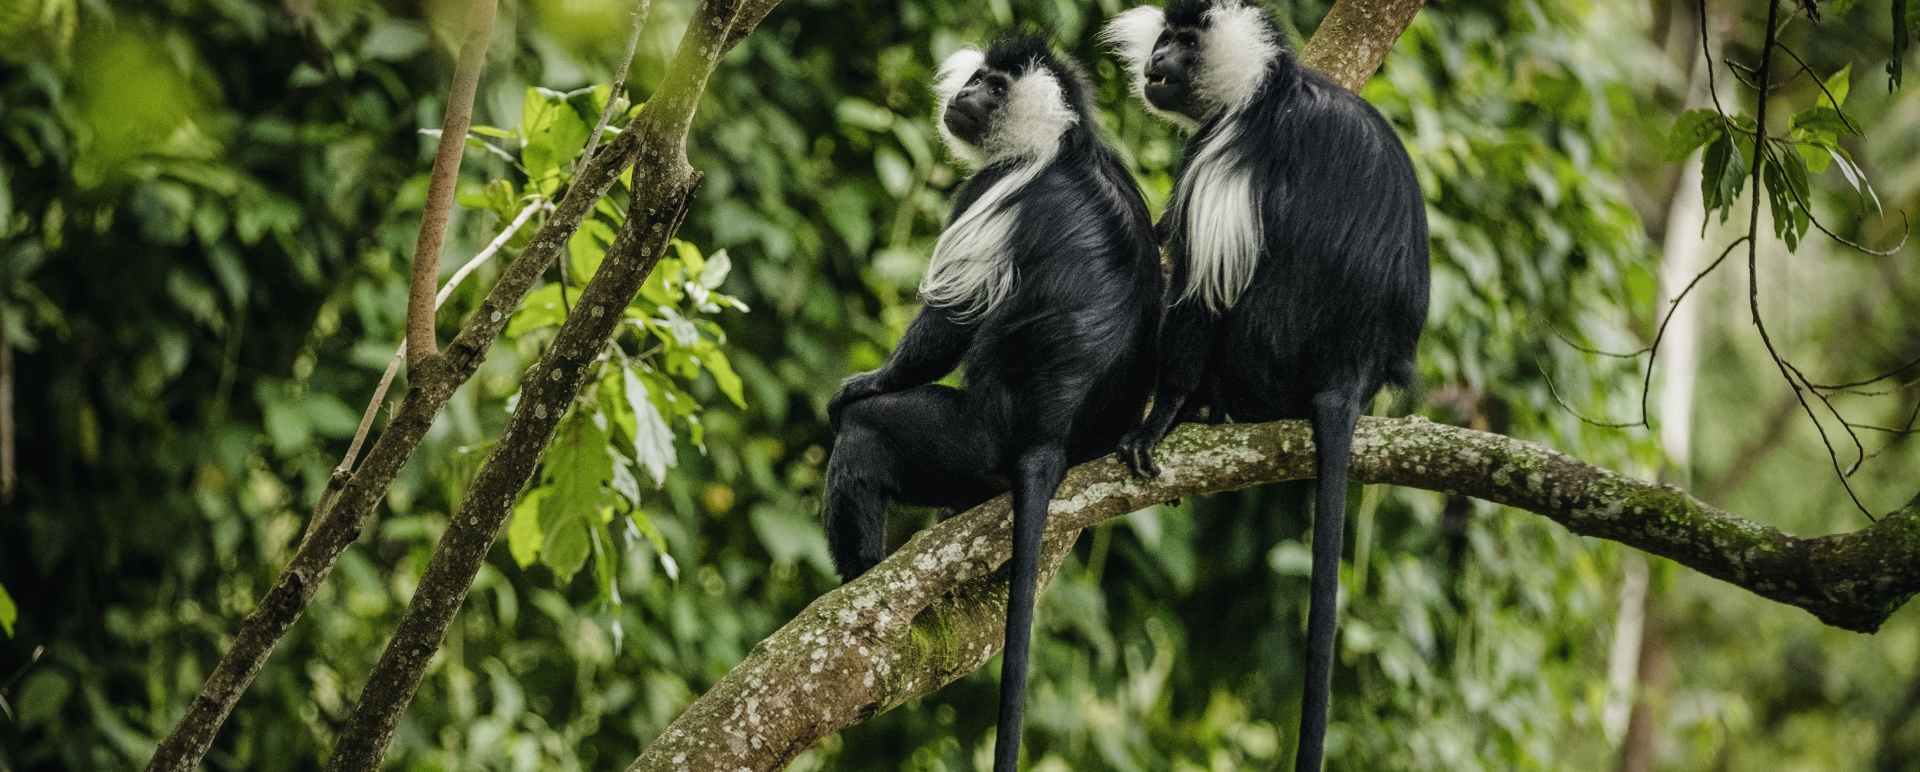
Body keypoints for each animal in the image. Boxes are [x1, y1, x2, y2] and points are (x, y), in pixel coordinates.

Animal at [821, 36, 1163, 772]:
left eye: (995, 86)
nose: (966, 93)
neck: (1063, 143)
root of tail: (1047, 438)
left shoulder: (990, 193)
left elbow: (949, 321)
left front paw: (864, 384)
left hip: (967, 441)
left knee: (867, 440)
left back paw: (859, 574)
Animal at [1101, 2, 1430, 769]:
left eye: (1183, 43)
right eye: (1163, 39)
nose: (1155, 60)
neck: (1263, 86)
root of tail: (1349, 371)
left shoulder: (1225, 153)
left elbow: (1200, 291)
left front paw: (1158, 419)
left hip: (1265, 351)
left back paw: (1204, 407)